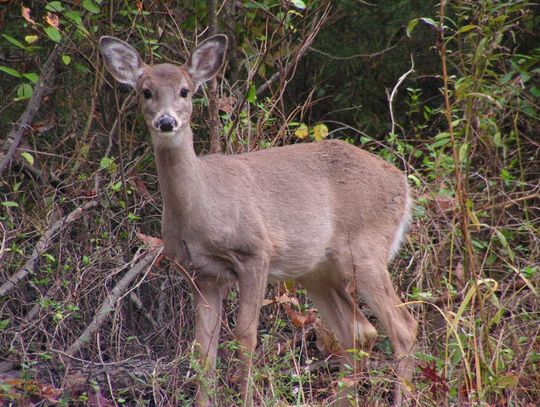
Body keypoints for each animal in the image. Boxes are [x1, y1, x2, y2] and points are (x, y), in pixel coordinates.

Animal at [98, 33, 418, 406]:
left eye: (185, 90)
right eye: (145, 91)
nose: (166, 122)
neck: (201, 211)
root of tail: (402, 183)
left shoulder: (255, 252)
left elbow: (245, 336)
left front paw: (247, 396)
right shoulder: (201, 273)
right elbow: (202, 350)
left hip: (366, 249)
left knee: (403, 327)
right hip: (317, 270)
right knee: (359, 331)